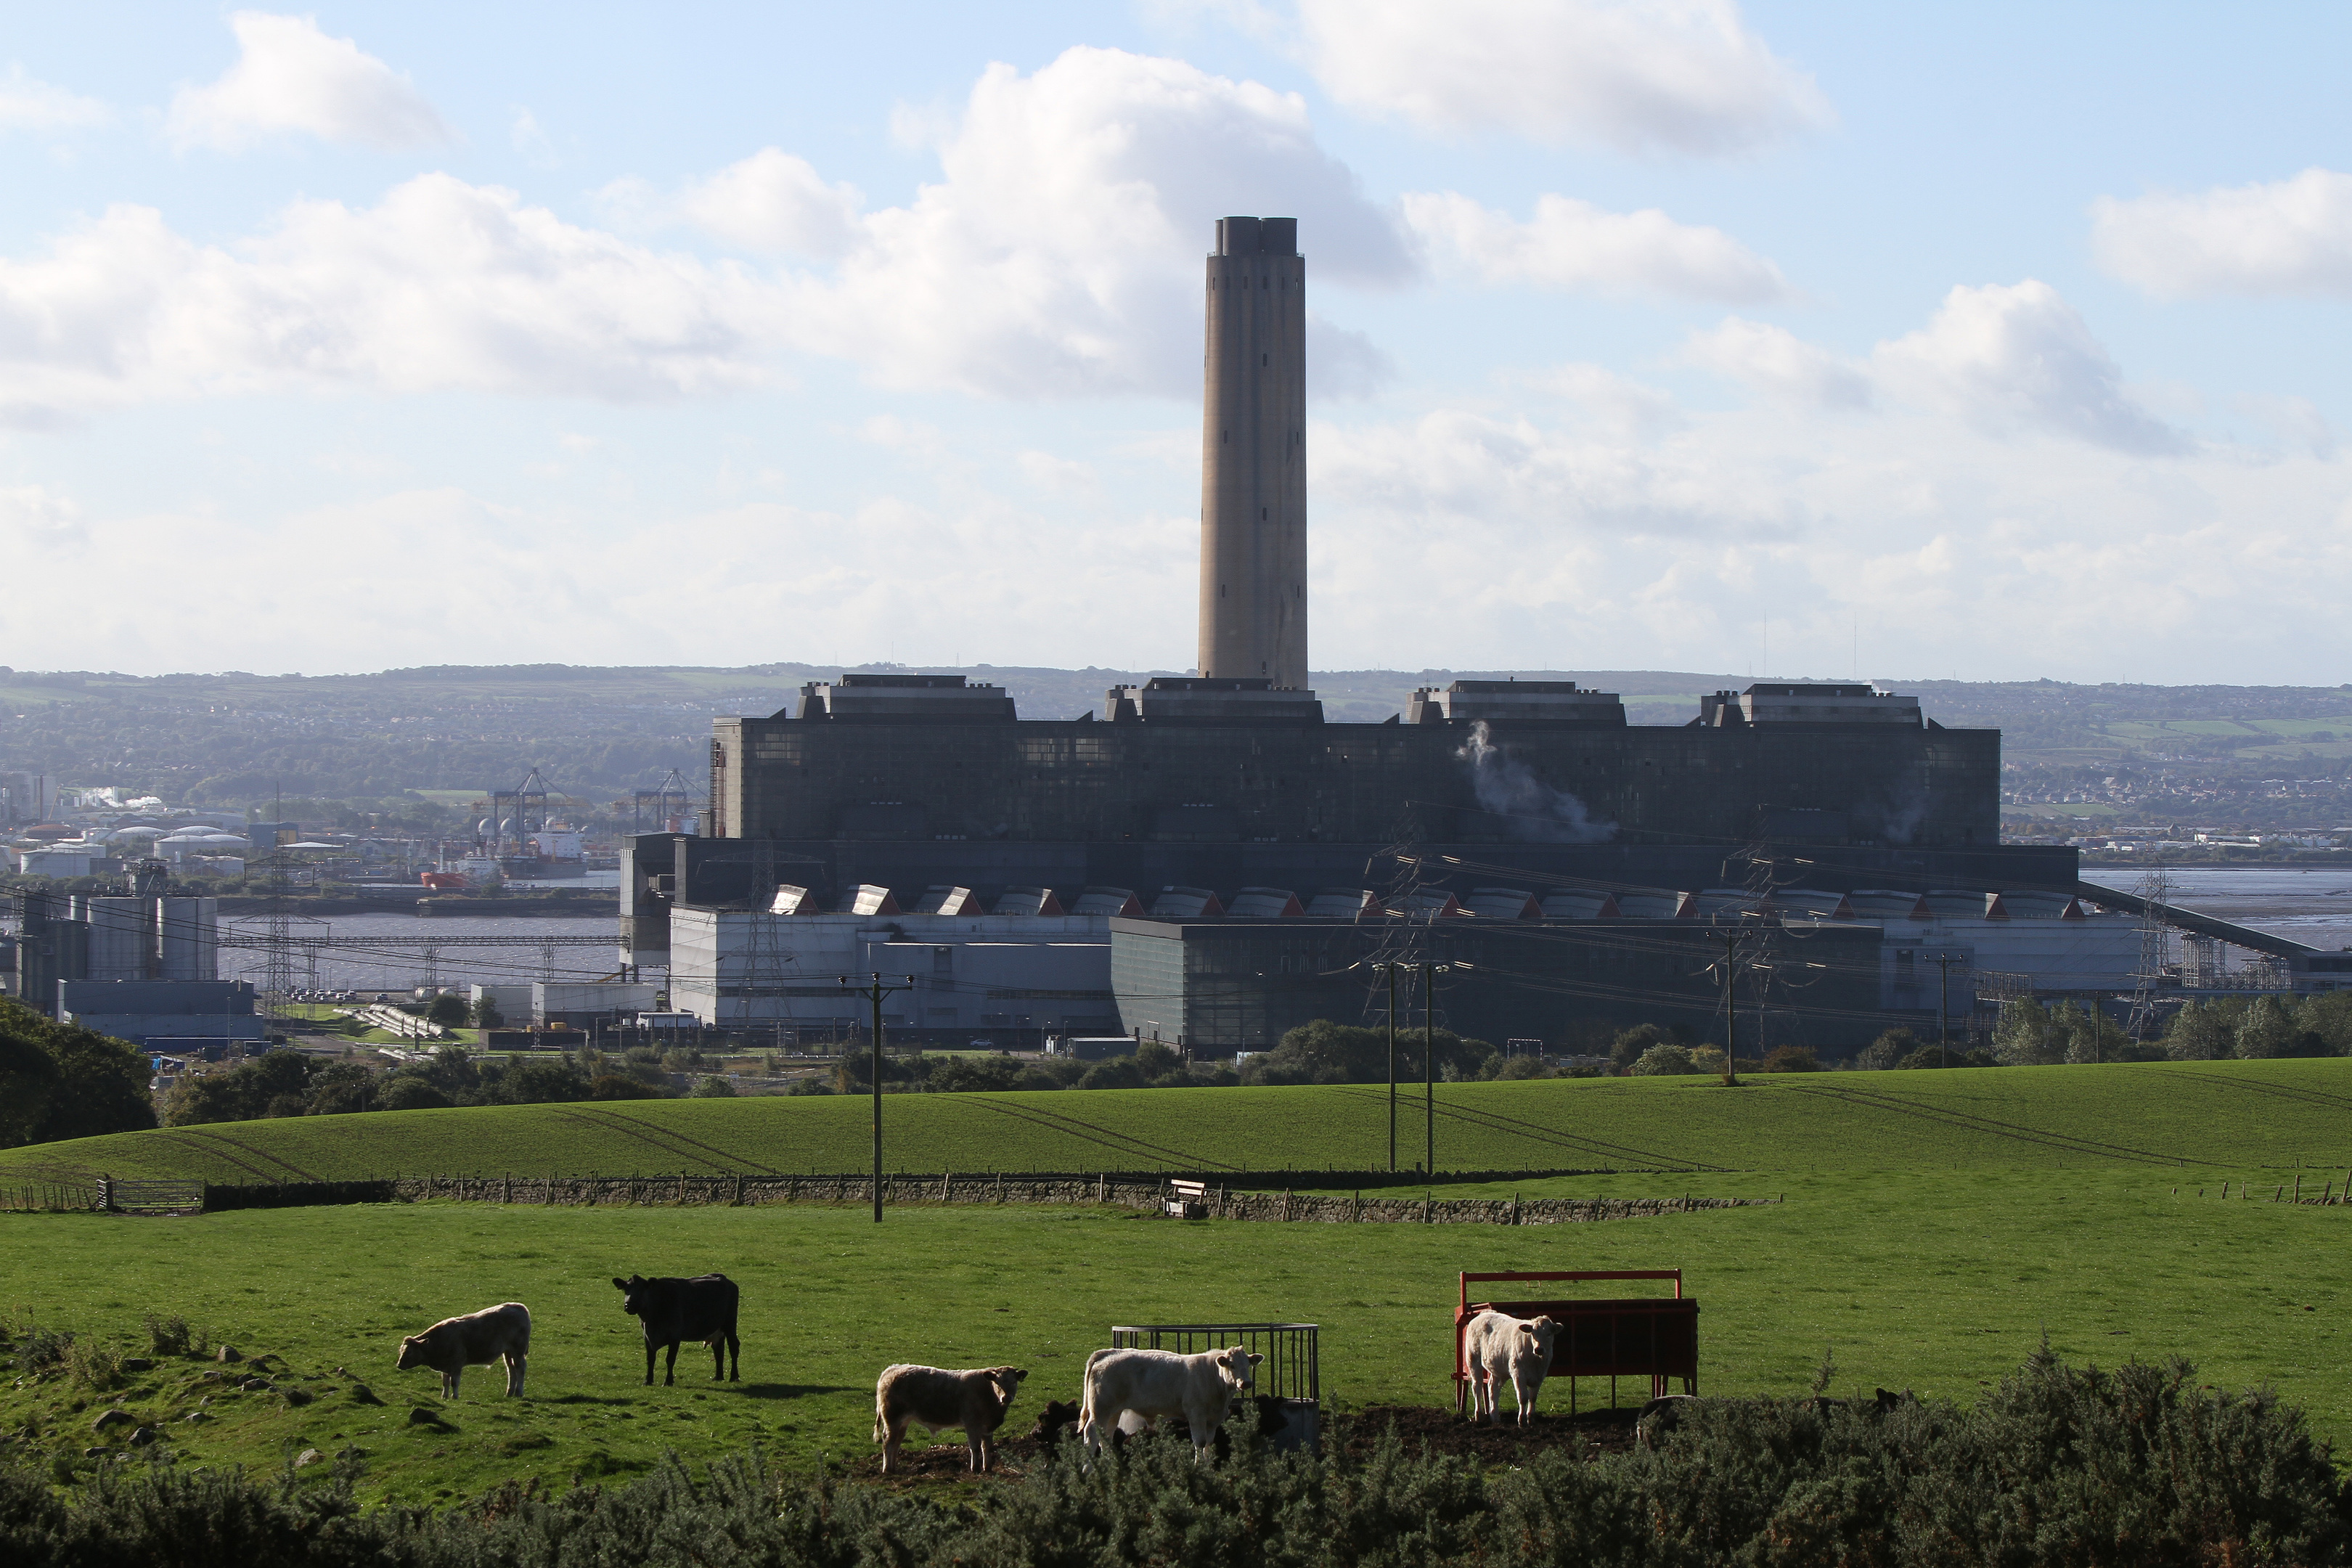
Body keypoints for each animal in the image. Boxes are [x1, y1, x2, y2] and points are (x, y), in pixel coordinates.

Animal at [611, 1278, 738, 1382]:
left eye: (642, 1289)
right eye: (626, 1289)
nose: (628, 1305)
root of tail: (727, 1280)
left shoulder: (675, 1336)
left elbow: (670, 1359)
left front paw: (668, 1381)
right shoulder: (647, 1336)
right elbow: (650, 1359)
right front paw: (648, 1381)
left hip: (730, 1324)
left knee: (734, 1347)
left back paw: (734, 1377)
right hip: (718, 1331)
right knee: (719, 1350)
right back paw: (718, 1377)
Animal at [1082, 1354, 1270, 1457]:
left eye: (1248, 1364)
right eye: (1232, 1365)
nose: (1246, 1383)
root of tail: (1107, 1355)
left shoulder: (1213, 1420)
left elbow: (1209, 1443)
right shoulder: (1196, 1415)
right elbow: (1200, 1443)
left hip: (1114, 1411)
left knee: (1105, 1437)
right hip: (1101, 1408)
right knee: (1091, 1433)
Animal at [1448, 1316, 1561, 1419]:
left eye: (1549, 1334)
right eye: (1533, 1334)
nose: (1539, 1349)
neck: (1535, 1360)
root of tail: (1480, 1316)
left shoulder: (1540, 1375)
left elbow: (1533, 1398)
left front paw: (1531, 1418)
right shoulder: (1518, 1373)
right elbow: (1523, 1397)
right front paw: (1522, 1420)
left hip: (1497, 1369)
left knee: (1493, 1389)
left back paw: (1495, 1417)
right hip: (1473, 1361)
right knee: (1477, 1387)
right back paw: (1479, 1415)